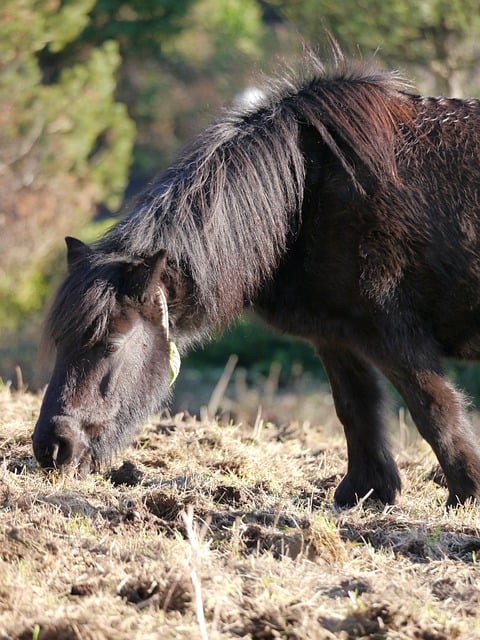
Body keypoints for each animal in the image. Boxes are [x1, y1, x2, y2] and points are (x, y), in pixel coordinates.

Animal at [32, 50, 480, 508]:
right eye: (59, 341)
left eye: (111, 344)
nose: (52, 447)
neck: (306, 193)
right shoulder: (336, 335)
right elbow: (355, 408)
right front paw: (365, 490)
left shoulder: (396, 337)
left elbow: (434, 412)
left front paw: (466, 494)